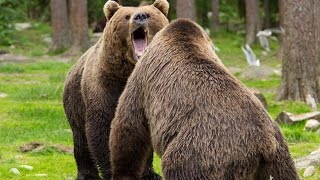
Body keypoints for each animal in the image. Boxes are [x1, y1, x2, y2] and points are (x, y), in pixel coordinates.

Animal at [61, 0, 169, 179]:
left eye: (149, 14)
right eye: (127, 16)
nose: (139, 16)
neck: (128, 71)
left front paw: (149, 173)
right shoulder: (104, 87)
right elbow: (103, 129)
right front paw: (112, 171)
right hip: (74, 100)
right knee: (80, 138)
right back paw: (87, 174)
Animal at [109, 18, 298, 180]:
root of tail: (265, 143)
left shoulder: (142, 80)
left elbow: (129, 124)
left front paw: (123, 173)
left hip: (204, 150)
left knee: (178, 166)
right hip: (279, 156)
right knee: (286, 173)